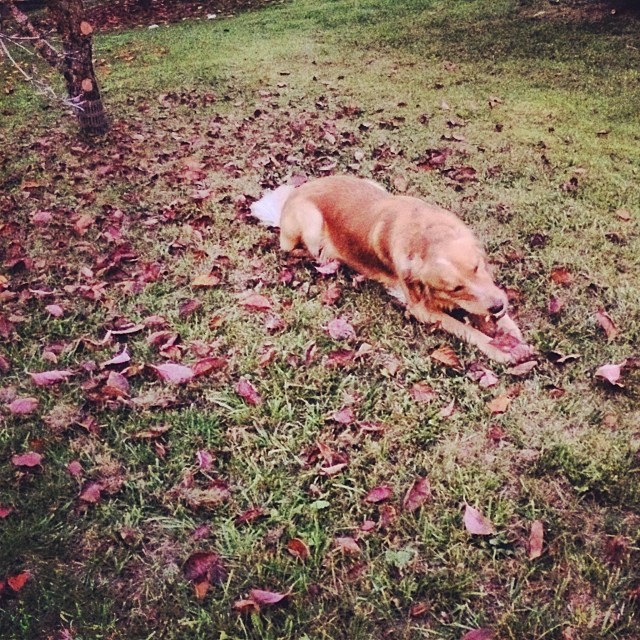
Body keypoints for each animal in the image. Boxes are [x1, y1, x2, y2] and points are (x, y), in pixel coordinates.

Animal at [252, 175, 524, 364]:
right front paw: (497, 348)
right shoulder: (420, 309)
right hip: (311, 224)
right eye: (455, 288)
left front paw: (509, 327)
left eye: (477, 267)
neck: (424, 235)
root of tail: (293, 194)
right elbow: (466, 330)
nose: (497, 306)